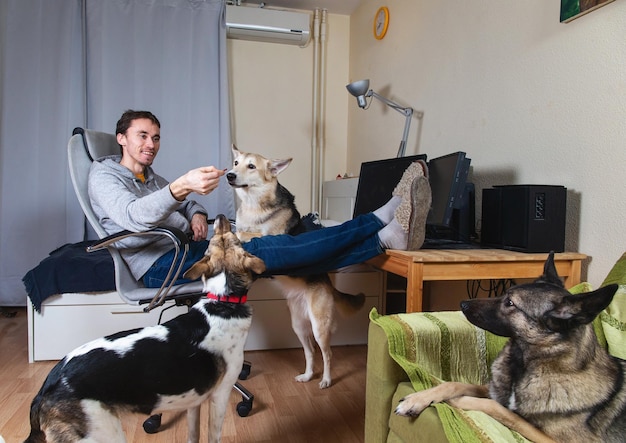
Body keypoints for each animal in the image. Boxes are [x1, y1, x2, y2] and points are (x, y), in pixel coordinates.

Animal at [26, 213, 266, 442]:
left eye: (224, 240)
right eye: (235, 240)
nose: (221, 218)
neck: (222, 301)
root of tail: (45, 390)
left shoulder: (194, 402)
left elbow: (193, 434)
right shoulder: (220, 396)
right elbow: (213, 436)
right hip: (103, 432)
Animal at [225, 147, 364, 388]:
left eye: (251, 166)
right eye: (236, 163)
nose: (229, 175)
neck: (253, 203)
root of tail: (328, 284)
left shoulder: (274, 239)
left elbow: (249, 235)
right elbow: (239, 231)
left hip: (319, 327)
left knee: (327, 354)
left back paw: (326, 380)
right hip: (298, 326)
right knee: (310, 353)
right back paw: (307, 375)